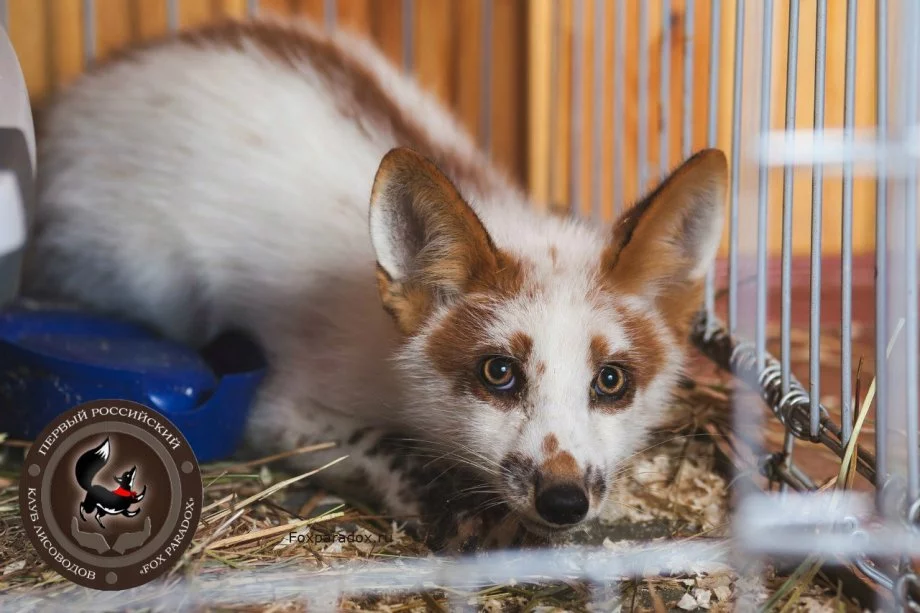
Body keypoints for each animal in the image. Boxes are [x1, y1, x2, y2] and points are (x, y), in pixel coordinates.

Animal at [25, 16, 724, 548]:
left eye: (611, 381)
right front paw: (445, 503)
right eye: (498, 372)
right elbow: (376, 443)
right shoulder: (276, 411)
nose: (563, 500)